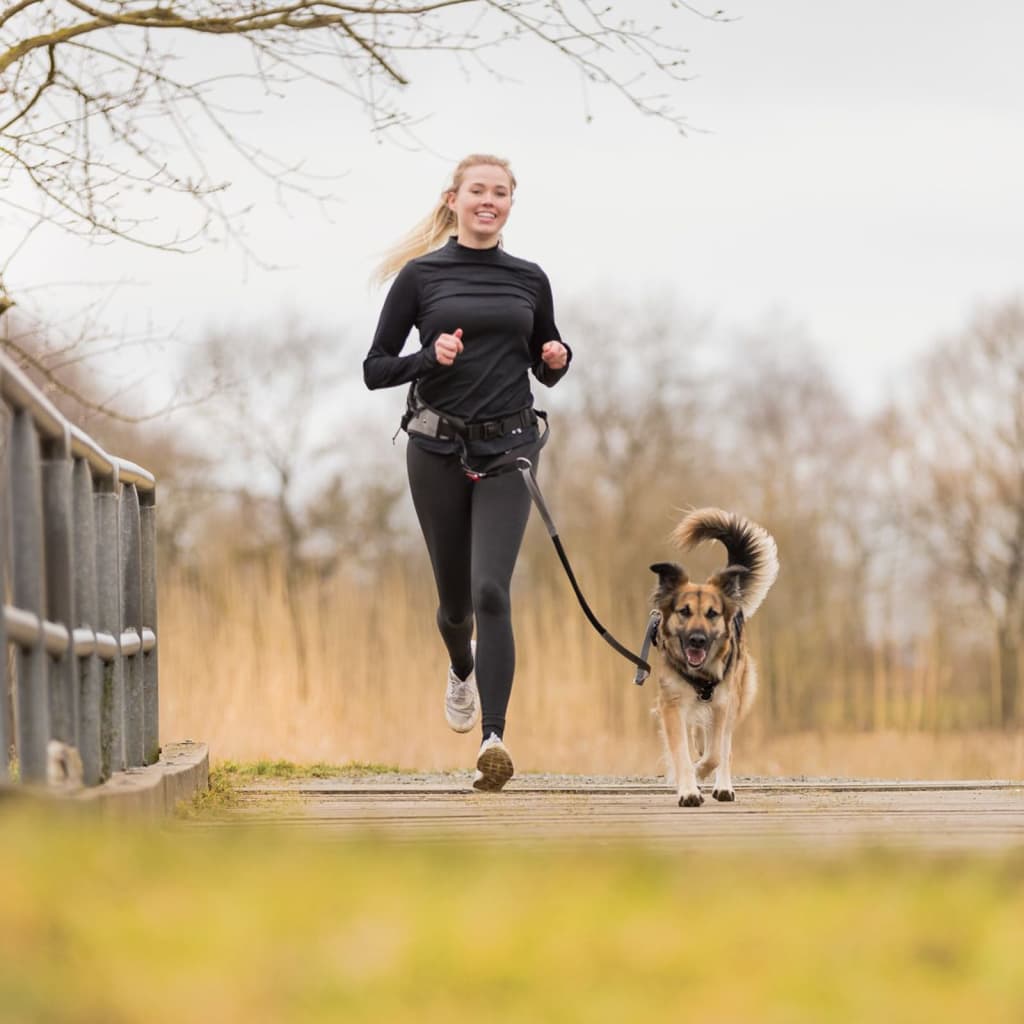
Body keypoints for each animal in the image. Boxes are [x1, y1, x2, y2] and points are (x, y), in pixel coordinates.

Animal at [651, 507, 778, 802]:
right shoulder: (672, 704)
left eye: (712, 614)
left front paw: (699, 773)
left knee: (723, 748)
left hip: (734, 700)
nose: (697, 640)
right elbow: (681, 752)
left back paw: (722, 786)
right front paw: (688, 789)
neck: (700, 675)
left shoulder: (722, 703)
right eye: (684, 611)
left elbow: (715, 754)